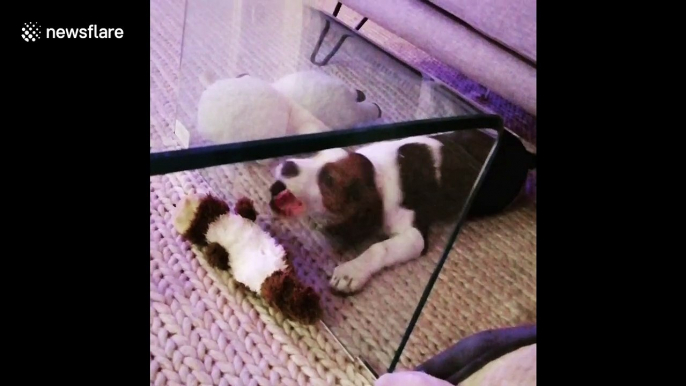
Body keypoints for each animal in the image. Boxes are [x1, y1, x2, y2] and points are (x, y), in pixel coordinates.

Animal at [270, 128, 536, 294]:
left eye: (328, 180)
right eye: (314, 155)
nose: (287, 164)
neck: (376, 175)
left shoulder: (414, 235)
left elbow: (379, 247)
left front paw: (351, 272)